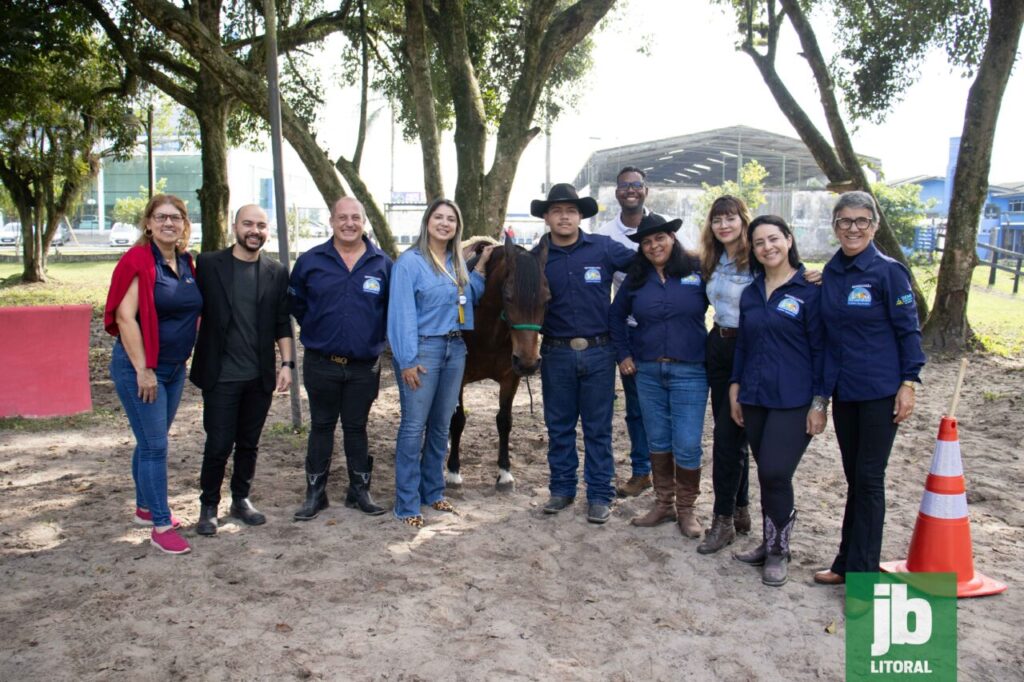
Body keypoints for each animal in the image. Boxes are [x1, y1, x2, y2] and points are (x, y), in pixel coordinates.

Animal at [444, 233, 548, 489]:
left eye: (547, 298)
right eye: (508, 297)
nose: (528, 363)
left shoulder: (511, 378)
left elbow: (504, 421)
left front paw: (504, 471)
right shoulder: (458, 375)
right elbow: (458, 420)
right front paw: (453, 470)